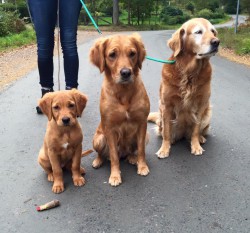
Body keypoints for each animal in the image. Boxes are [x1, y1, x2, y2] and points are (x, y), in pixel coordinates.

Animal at [89, 33, 149, 187]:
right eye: (112, 55)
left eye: (132, 53)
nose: (126, 73)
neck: (124, 92)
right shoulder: (109, 128)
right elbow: (114, 156)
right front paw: (115, 176)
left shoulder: (142, 123)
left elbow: (141, 149)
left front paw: (142, 166)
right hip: (98, 139)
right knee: (105, 154)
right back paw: (98, 161)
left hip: (146, 136)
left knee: (132, 151)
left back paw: (132, 158)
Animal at [147, 18, 220, 158]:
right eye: (198, 32)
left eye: (213, 31)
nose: (216, 42)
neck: (189, 72)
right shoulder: (166, 105)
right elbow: (166, 133)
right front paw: (164, 149)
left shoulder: (201, 104)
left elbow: (196, 129)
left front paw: (196, 145)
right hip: (161, 113)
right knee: (163, 131)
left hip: (208, 114)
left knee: (197, 132)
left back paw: (200, 138)